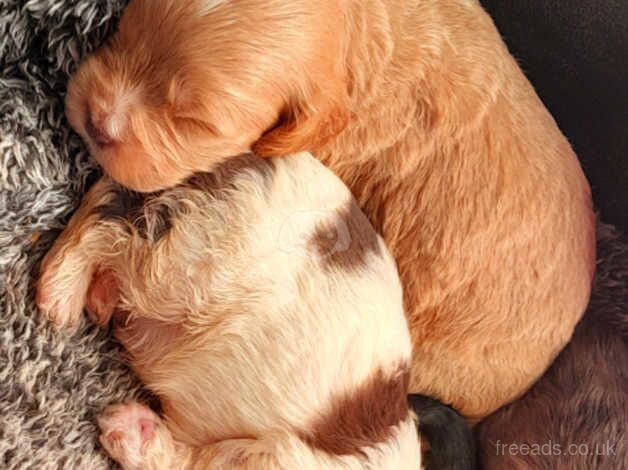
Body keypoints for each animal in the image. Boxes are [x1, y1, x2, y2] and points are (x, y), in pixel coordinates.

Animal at [38, 152, 422, 468]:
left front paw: (133, 431)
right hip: (188, 262)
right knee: (107, 225)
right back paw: (59, 295)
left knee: (109, 203)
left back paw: (99, 299)